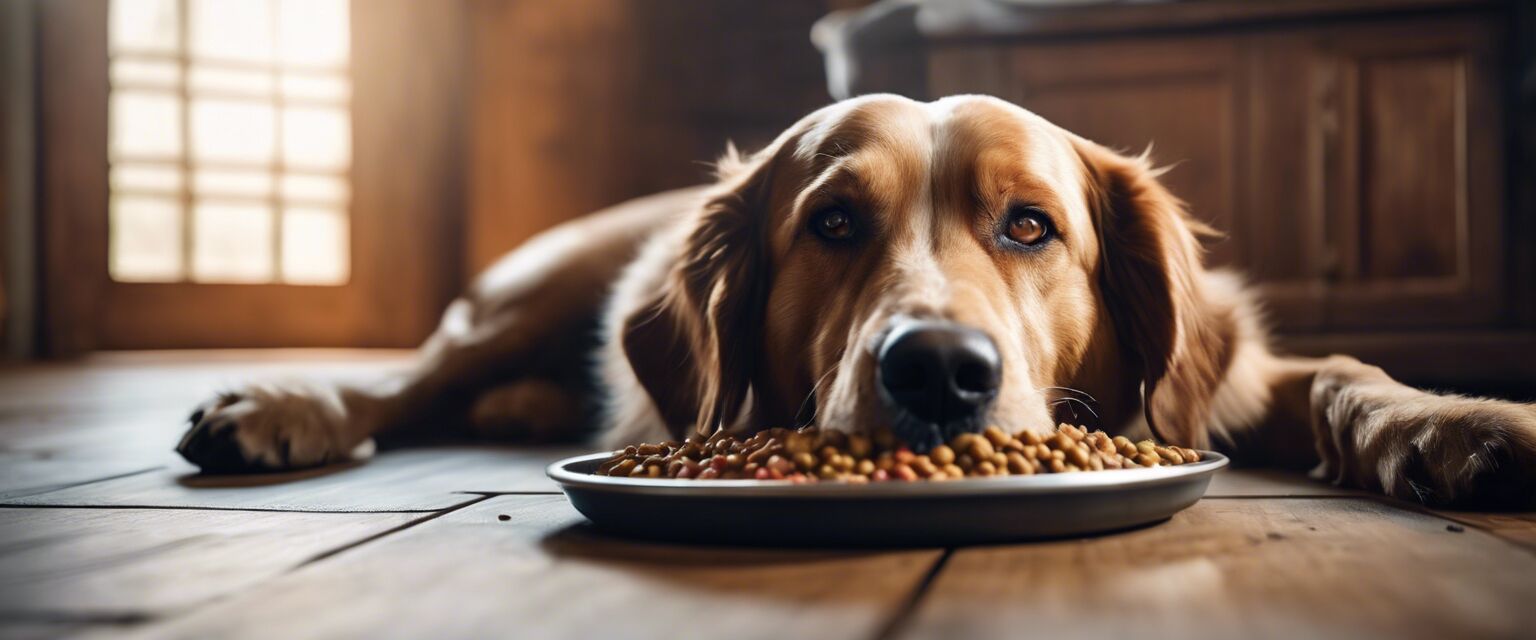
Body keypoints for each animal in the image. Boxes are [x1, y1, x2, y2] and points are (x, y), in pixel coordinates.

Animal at [171, 93, 1536, 503]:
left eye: (1030, 224)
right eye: (833, 223)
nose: (936, 369)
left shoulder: (1229, 378)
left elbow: (1349, 376)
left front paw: (1459, 423)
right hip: (536, 288)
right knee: (409, 380)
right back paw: (281, 409)